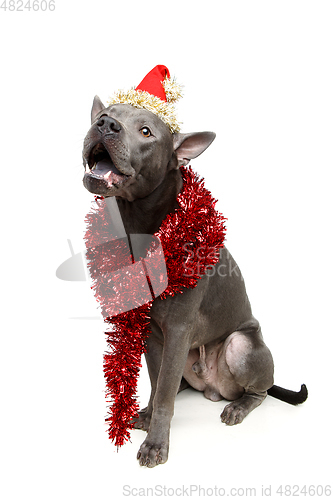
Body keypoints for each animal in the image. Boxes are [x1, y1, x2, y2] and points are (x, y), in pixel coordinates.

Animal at [81, 95, 306, 466]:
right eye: (105, 114)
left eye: (146, 131)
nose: (105, 125)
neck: (146, 229)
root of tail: (213, 388)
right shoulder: (153, 334)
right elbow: (157, 382)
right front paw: (147, 415)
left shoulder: (177, 329)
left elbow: (163, 396)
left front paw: (156, 444)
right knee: (175, 383)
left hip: (240, 345)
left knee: (257, 390)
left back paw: (238, 406)